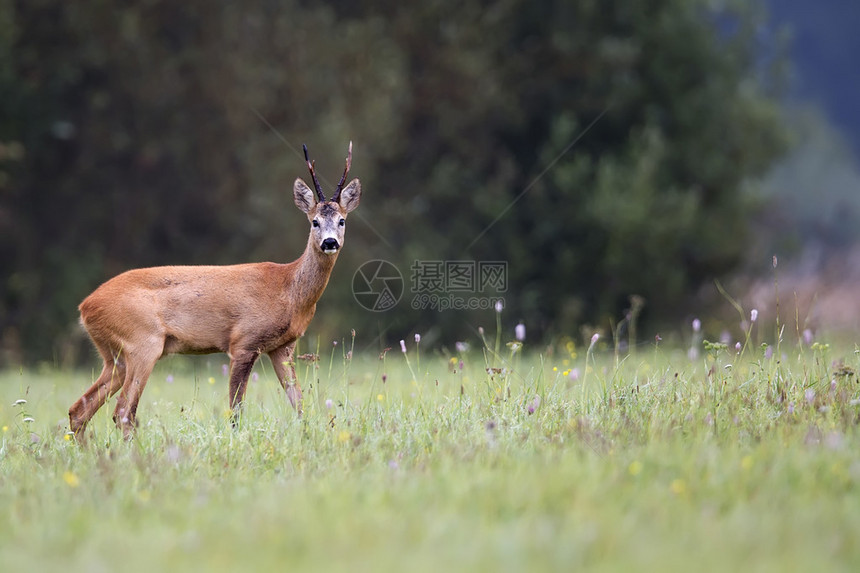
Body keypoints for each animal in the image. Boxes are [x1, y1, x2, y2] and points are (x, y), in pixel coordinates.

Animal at [69, 141, 360, 436]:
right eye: (314, 221)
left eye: (342, 220)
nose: (329, 242)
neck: (288, 289)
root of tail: (85, 306)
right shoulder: (243, 342)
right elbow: (235, 410)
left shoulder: (283, 347)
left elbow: (299, 405)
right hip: (143, 343)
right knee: (122, 412)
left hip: (114, 356)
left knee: (79, 409)